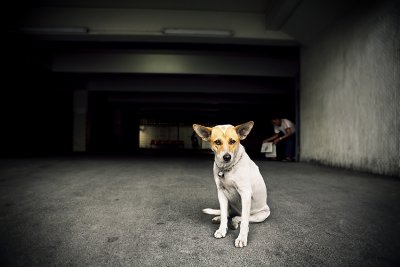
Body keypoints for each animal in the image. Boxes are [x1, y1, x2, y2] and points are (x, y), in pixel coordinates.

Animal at [193, 121, 270, 249]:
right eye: (217, 142)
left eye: (232, 141)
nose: (227, 157)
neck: (227, 169)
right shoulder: (221, 192)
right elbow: (224, 214)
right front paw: (222, 229)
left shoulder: (245, 194)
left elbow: (244, 221)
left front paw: (242, 238)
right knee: (229, 213)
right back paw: (219, 218)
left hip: (261, 215)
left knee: (240, 217)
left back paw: (235, 222)